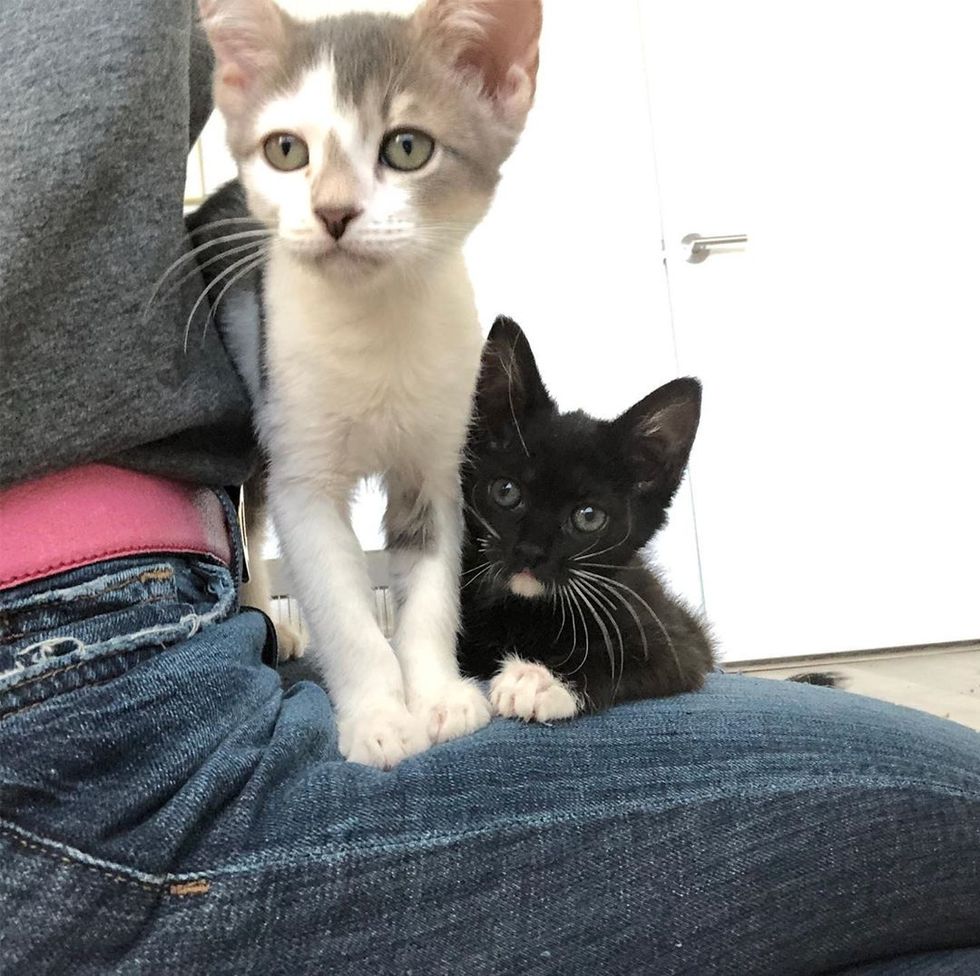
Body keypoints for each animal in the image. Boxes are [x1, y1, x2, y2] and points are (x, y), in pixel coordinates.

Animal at [194, 0, 540, 768]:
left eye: (407, 147)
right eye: (286, 151)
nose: (333, 211)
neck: (374, 327)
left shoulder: (436, 467)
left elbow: (430, 591)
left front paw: (438, 696)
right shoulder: (304, 472)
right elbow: (344, 609)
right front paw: (379, 717)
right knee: (243, 514)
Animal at [460, 316, 712, 720]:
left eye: (589, 516)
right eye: (506, 491)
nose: (530, 551)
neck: (525, 609)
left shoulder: (680, 646)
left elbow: (624, 657)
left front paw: (539, 680)